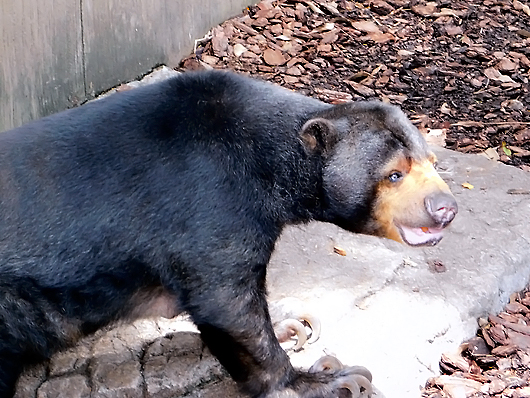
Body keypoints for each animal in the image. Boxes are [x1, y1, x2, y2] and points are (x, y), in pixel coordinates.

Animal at [0, 71, 454, 398]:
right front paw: (330, 380)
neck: (274, 165)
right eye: (393, 175)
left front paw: (291, 321)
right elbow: (224, 298)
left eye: (433, 163)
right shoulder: (212, 199)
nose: (445, 209)